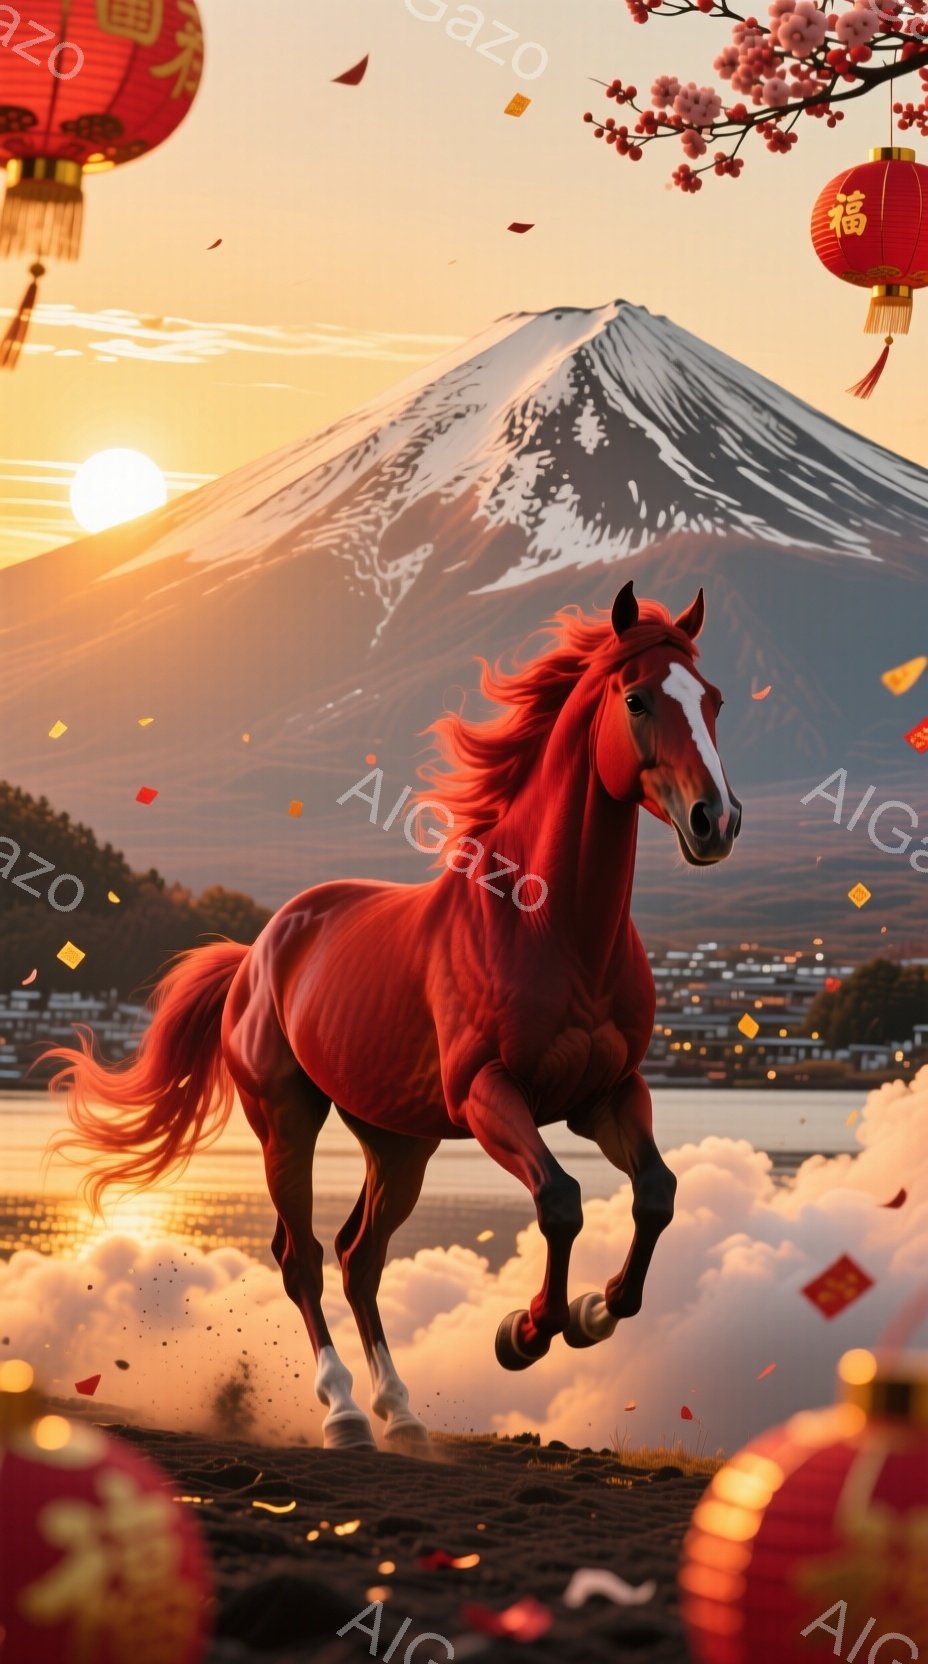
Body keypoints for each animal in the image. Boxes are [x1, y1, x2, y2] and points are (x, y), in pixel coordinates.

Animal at [42, 580, 741, 1451]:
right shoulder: (488, 1094)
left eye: (713, 700)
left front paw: (593, 1311)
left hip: (398, 1140)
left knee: (359, 1255)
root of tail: (258, 949)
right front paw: (527, 1332)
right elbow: (560, 1201)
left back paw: (400, 1411)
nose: (717, 821)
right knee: (302, 1255)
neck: (551, 927)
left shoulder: (609, 1094)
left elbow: (657, 1193)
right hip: (287, 1119)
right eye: (638, 698)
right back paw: (343, 1410)